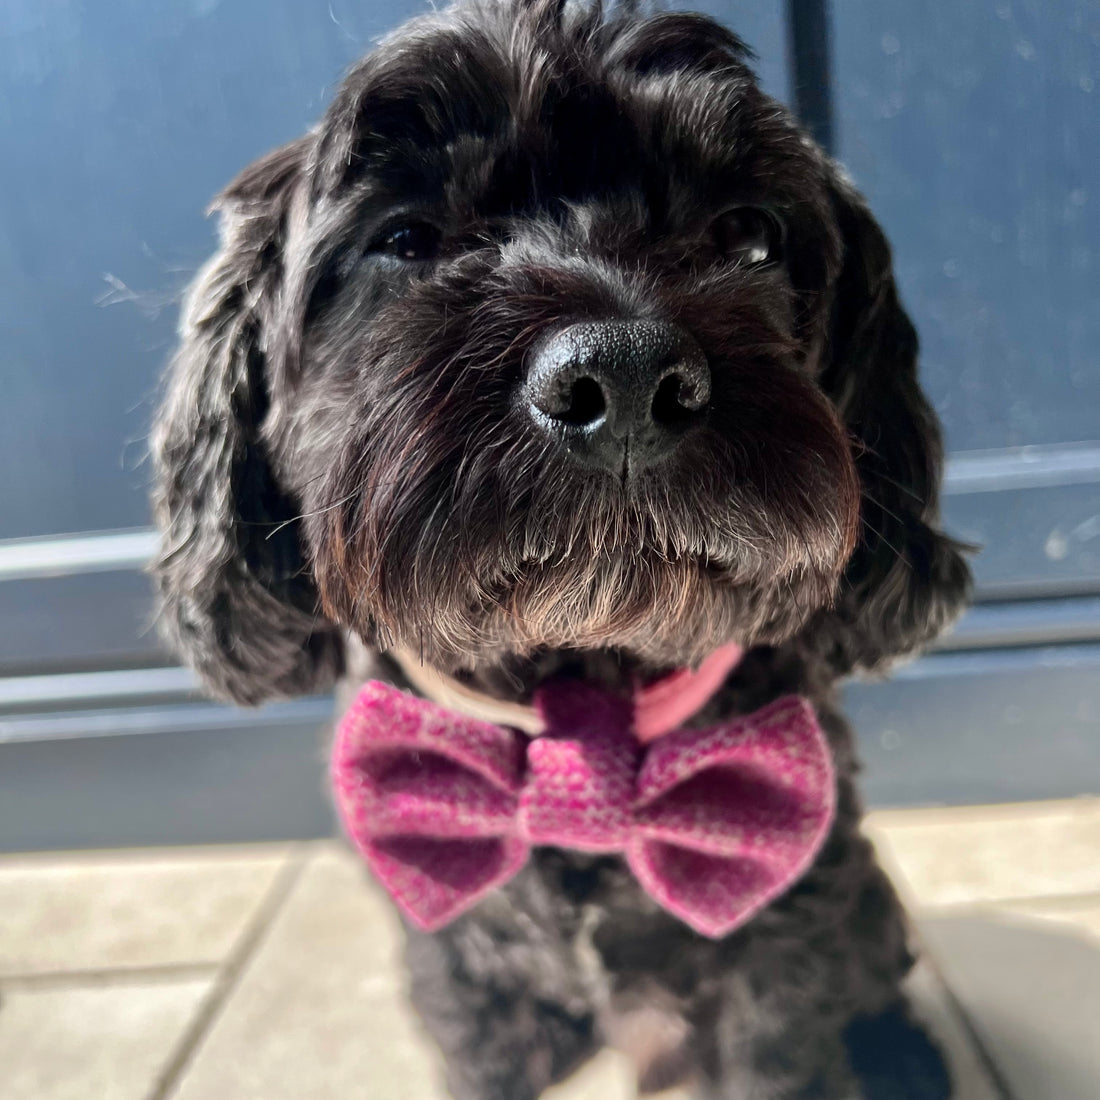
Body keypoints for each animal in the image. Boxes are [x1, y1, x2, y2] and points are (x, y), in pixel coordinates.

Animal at [150, 4, 968, 1095]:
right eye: (404, 239)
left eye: (746, 232)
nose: (621, 375)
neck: (577, 697)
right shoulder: (456, 961)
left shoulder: (780, 946)